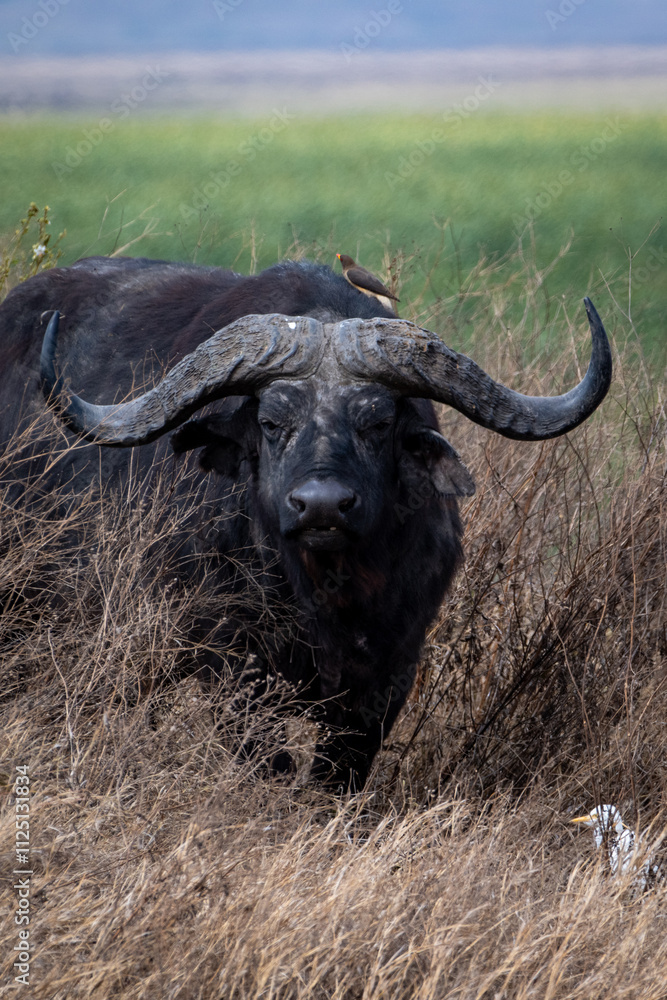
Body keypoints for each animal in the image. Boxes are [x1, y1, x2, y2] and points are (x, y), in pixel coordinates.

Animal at [0, 256, 612, 789]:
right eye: (272, 423)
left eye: (378, 422)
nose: (321, 506)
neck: (325, 595)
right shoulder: (234, 673)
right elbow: (270, 764)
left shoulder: (390, 673)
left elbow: (337, 776)